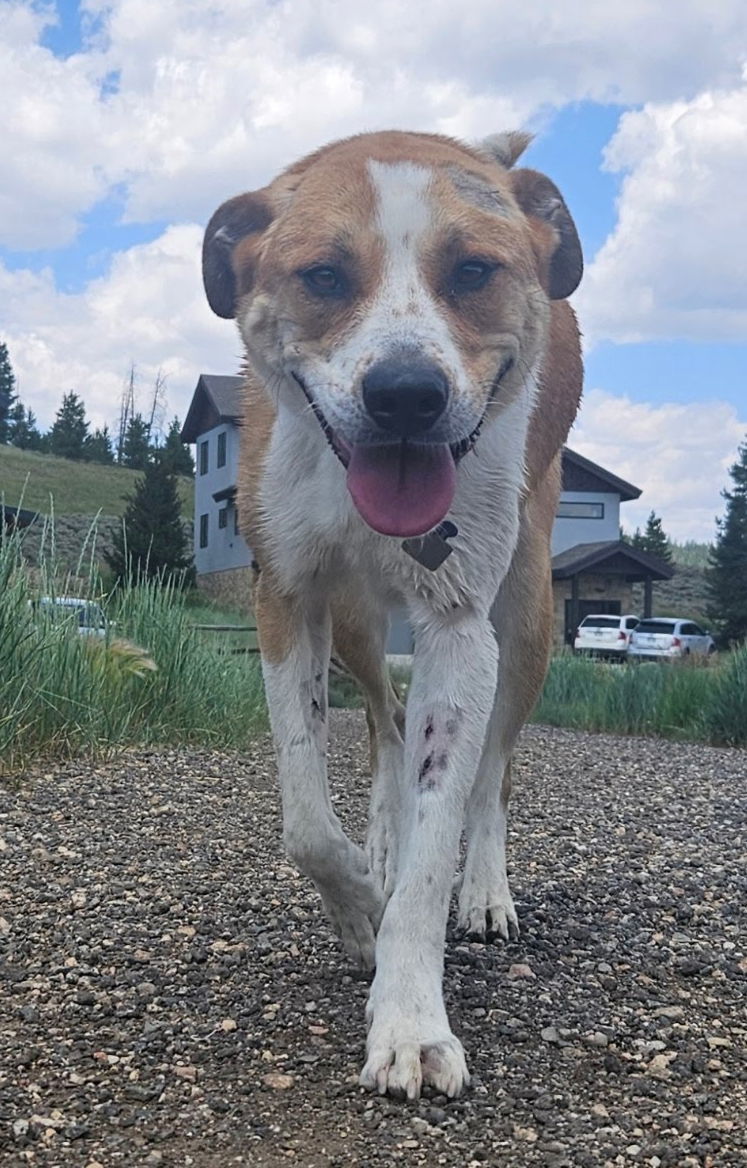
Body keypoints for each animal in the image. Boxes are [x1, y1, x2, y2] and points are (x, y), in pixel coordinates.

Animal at [203, 132, 583, 1097]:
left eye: (475, 270)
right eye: (324, 276)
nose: (405, 393)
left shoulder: (459, 622)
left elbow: (440, 829)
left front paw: (410, 1018)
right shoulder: (287, 593)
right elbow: (308, 824)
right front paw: (360, 908)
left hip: (526, 612)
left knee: (489, 773)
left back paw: (482, 888)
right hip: (355, 618)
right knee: (383, 719)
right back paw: (383, 835)